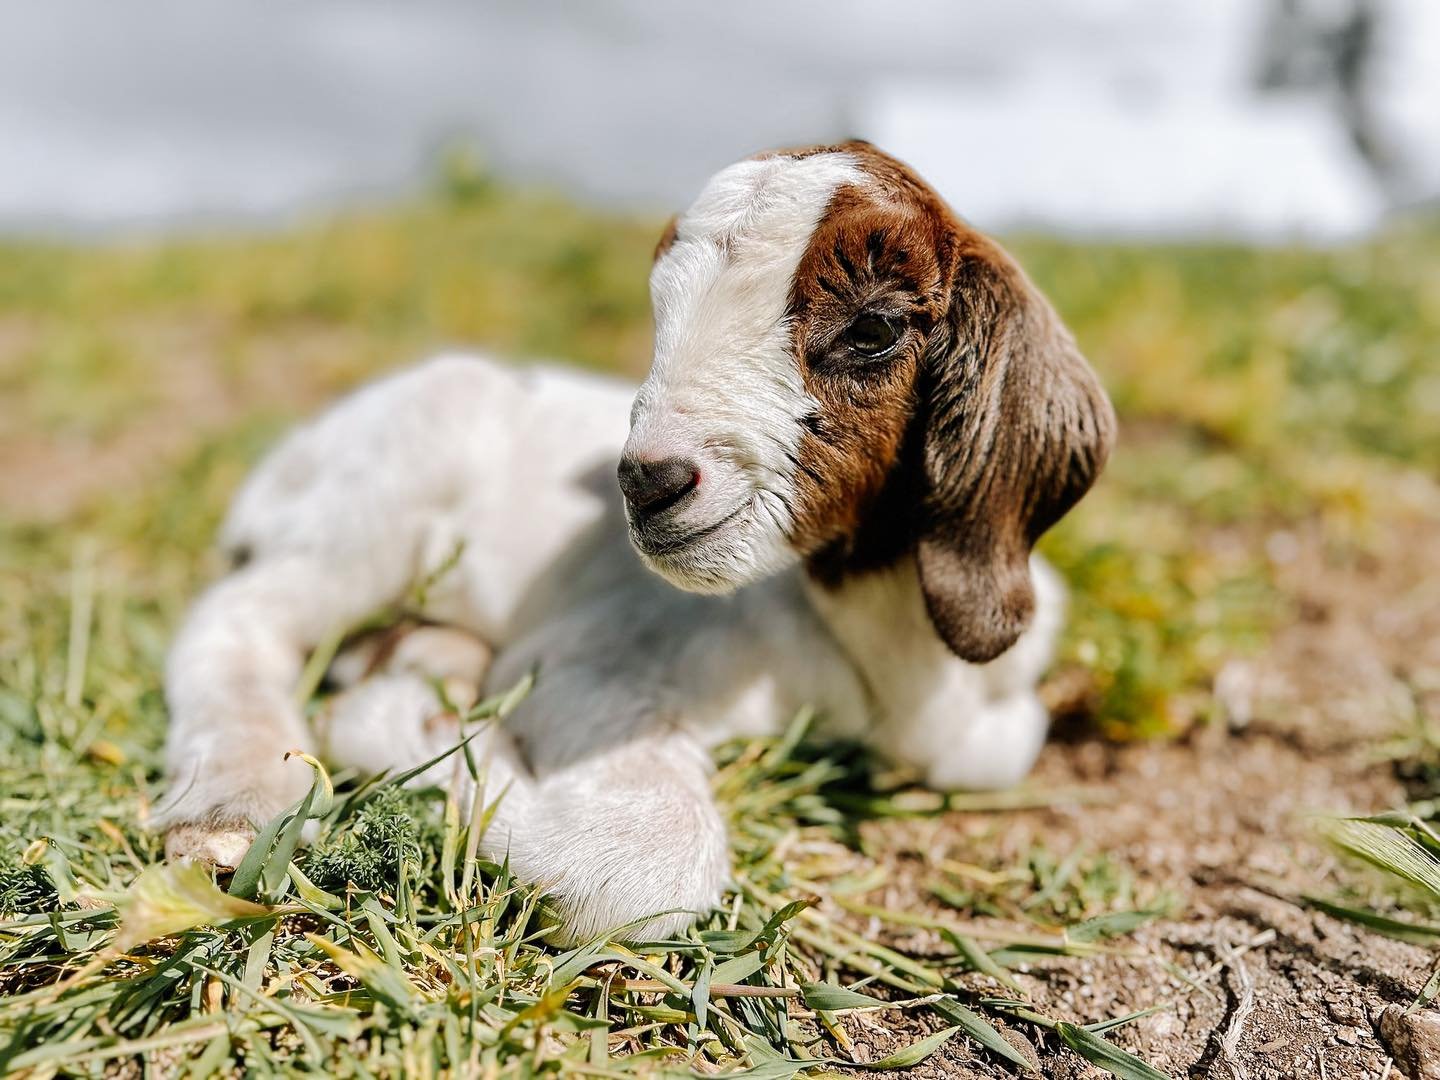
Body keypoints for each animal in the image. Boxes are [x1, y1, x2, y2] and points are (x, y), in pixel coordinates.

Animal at [154, 141, 1111, 938]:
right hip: (376, 499)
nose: (647, 482)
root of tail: (291, 454)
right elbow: (650, 867)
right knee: (241, 617)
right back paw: (234, 802)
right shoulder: (596, 663)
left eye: (873, 328)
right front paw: (398, 721)